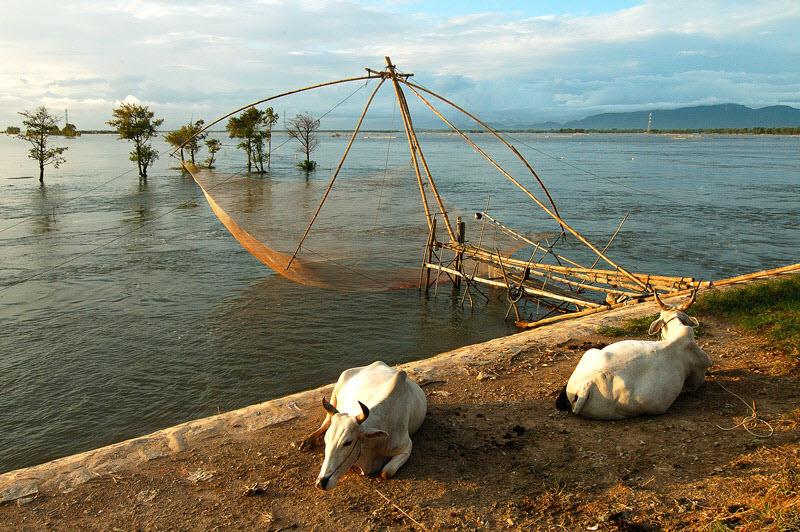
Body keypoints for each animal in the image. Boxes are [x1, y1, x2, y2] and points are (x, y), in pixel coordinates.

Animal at [298, 362, 424, 490]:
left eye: (348, 442)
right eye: (326, 440)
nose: (321, 482)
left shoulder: (406, 448)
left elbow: (386, 472)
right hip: (335, 393)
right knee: (326, 422)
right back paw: (307, 442)